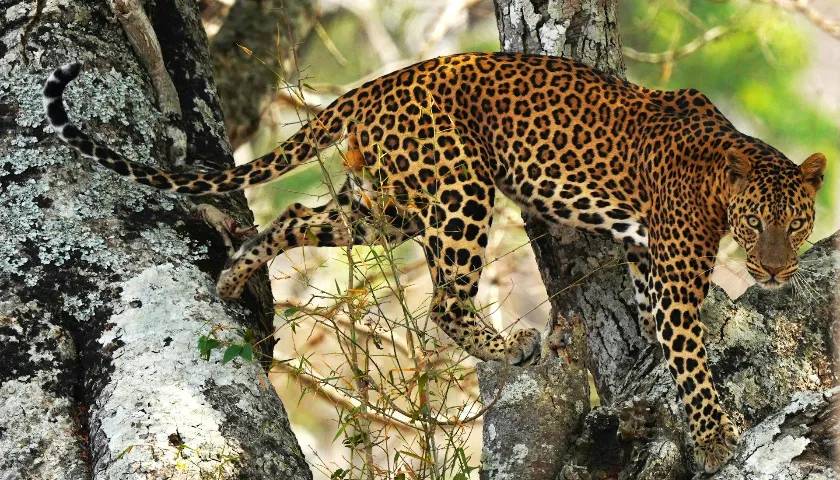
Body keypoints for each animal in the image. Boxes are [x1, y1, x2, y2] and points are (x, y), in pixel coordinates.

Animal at [43, 53, 826, 473]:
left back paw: (235, 273)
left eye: (796, 223)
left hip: (383, 203)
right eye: (757, 224)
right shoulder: (675, 270)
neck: (725, 177)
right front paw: (717, 437)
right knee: (445, 299)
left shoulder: (646, 256)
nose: (775, 271)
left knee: (298, 217)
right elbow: (689, 353)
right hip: (458, 190)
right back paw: (509, 347)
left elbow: (660, 325)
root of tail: (378, 84)